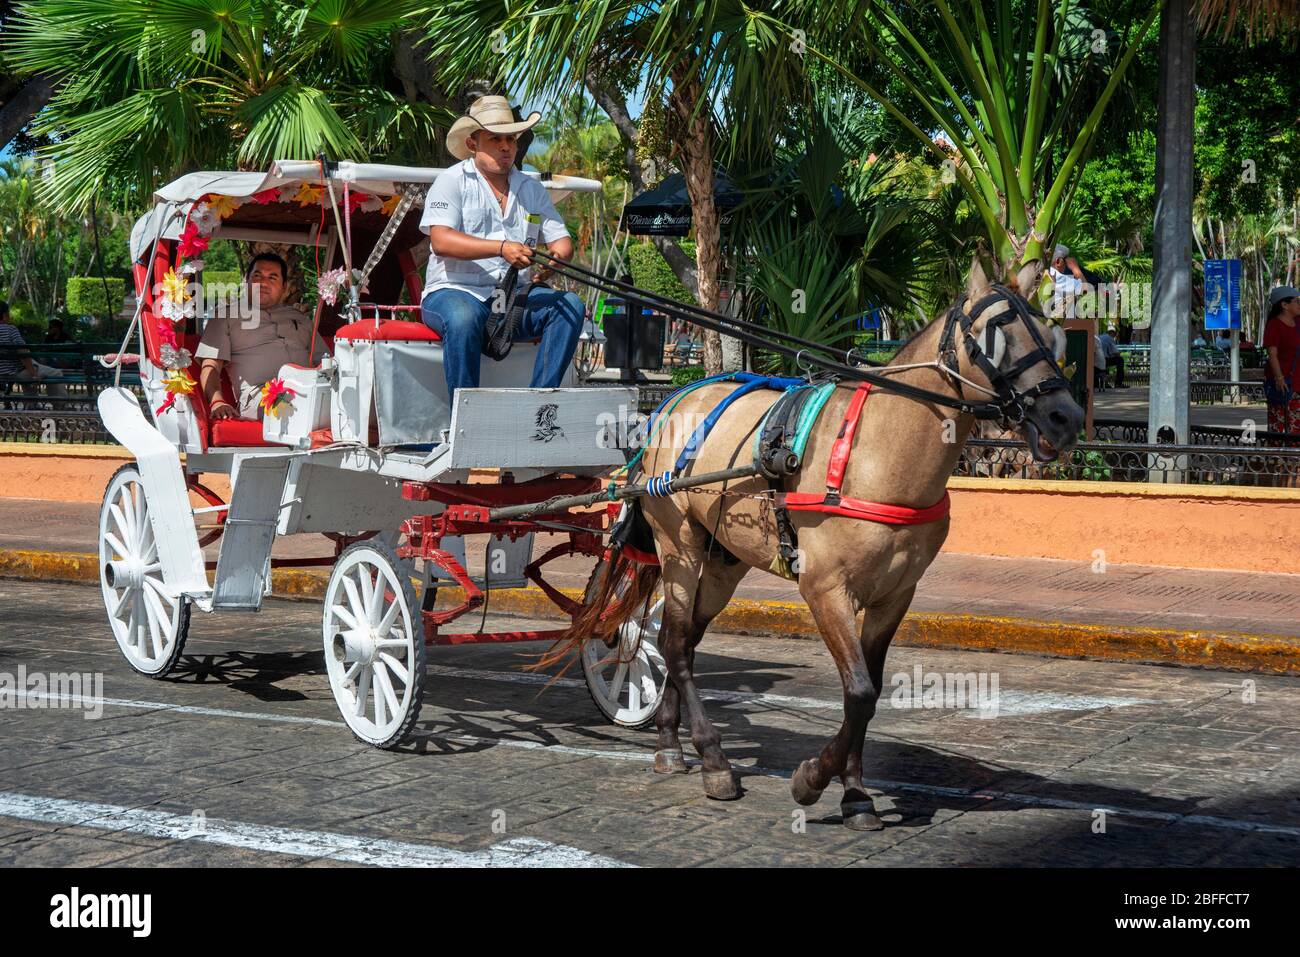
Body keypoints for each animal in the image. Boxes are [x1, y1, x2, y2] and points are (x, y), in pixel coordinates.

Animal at [563, 259, 1085, 830]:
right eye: (994, 334)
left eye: (1051, 334)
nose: (1066, 417)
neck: (875, 453)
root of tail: (671, 404)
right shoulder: (824, 588)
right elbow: (858, 690)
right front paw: (812, 779)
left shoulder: (895, 596)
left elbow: (869, 693)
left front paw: (855, 794)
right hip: (678, 545)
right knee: (675, 643)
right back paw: (714, 760)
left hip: (723, 559)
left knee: (679, 640)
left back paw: (669, 742)